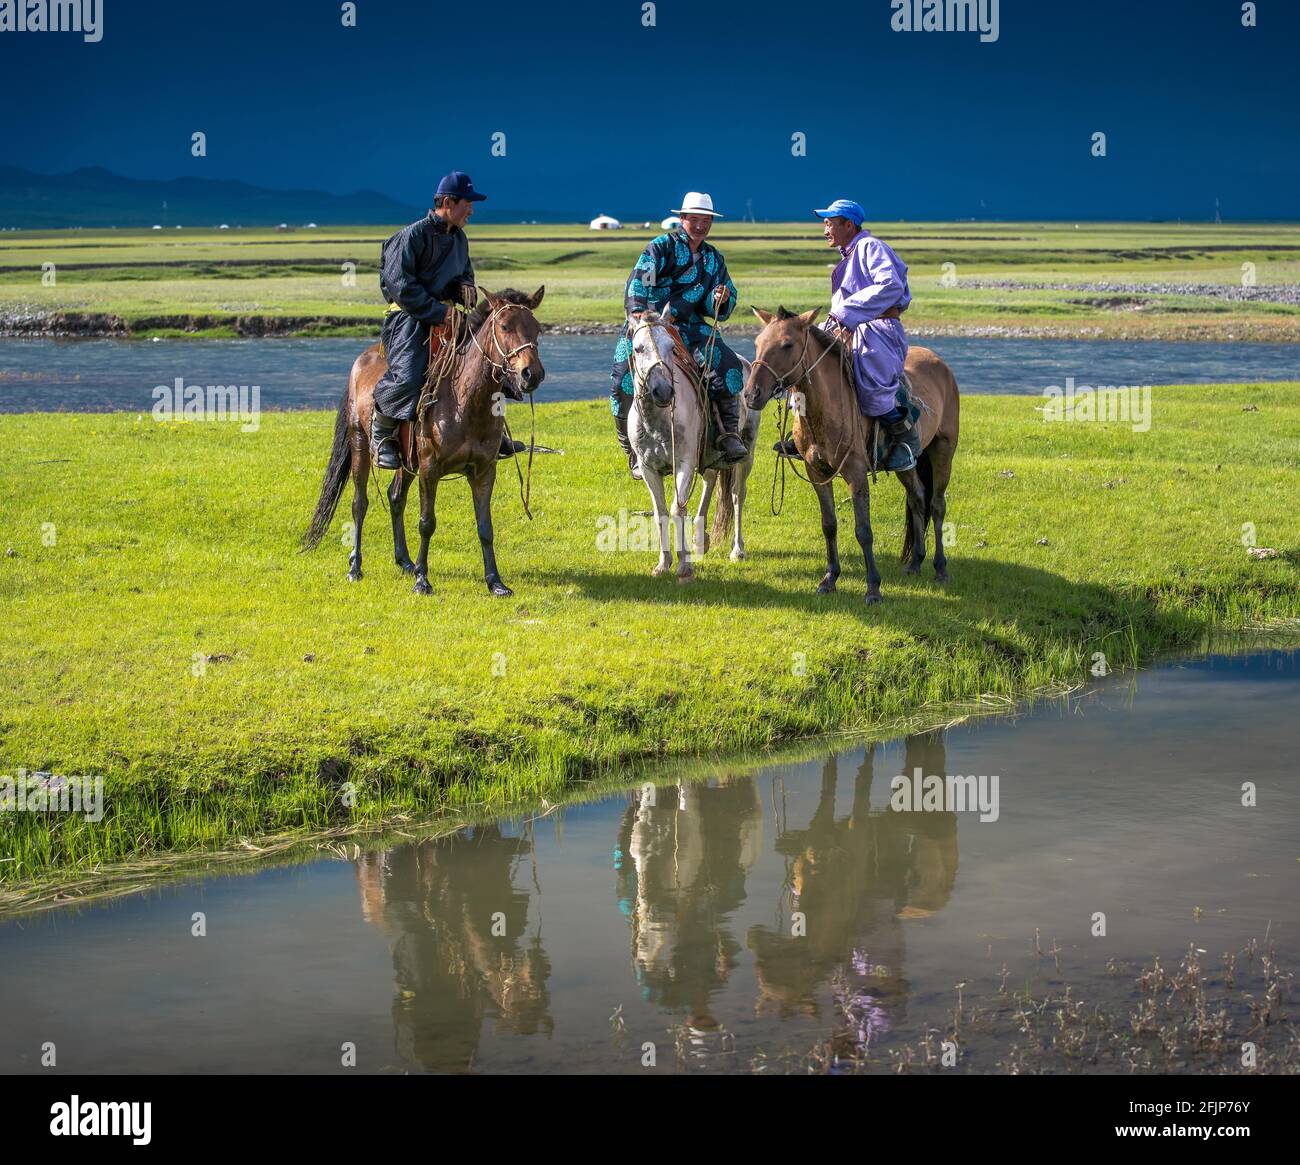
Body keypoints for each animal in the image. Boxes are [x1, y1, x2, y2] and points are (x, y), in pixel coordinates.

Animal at [302, 286, 543, 595]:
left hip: (405, 460)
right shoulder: (430, 469)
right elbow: (427, 523)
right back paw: (356, 567)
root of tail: (361, 361)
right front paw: (422, 581)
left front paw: (495, 582)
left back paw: (404, 561)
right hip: (360, 444)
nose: (531, 374)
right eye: (504, 327)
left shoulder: (484, 470)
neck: (466, 400)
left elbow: (485, 527)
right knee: (360, 503)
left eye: (536, 328)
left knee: (395, 497)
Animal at [624, 312, 759, 579]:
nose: (663, 391)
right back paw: (699, 540)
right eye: (638, 348)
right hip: (710, 455)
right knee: (710, 481)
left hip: (747, 451)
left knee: (737, 495)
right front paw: (662, 564)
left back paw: (737, 550)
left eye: (671, 347)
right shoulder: (647, 468)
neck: (659, 420)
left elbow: (678, 509)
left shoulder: (684, 463)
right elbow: (661, 513)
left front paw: (684, 565)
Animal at [743, 304, 956, 605]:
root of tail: (940, 364)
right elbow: (829, 524)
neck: (826, 407)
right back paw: (915, 562)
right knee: (917, 497)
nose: (751, 395)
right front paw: (830, 578)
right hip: (907, 464)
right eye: (758, 343)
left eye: (787, 345)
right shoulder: (816, 471)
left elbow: (863, 530)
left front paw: (873, 588)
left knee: (937, 505)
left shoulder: (855, 472)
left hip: (943, 449)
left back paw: (940, 568)